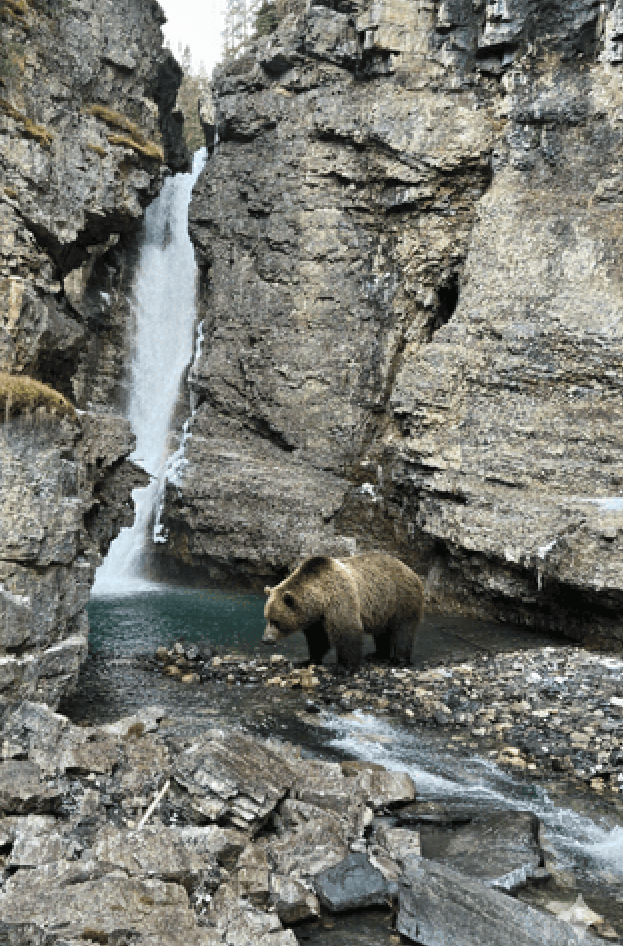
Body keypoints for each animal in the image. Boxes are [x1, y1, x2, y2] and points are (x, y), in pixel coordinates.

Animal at [262, 552, 423, 671]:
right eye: (267, 618)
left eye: (275, 621)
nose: (266, 639)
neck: (321, 599)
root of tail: (411, 570)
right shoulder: (316, 618)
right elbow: (317, 638)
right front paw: (309, 660)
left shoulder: (340, 597)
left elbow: (346, 630)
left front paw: (345, 667)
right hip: (383, 608)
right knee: (382, 632)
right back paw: (377, 655)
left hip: (401, 598)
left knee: (403, 630)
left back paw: (399, 660)